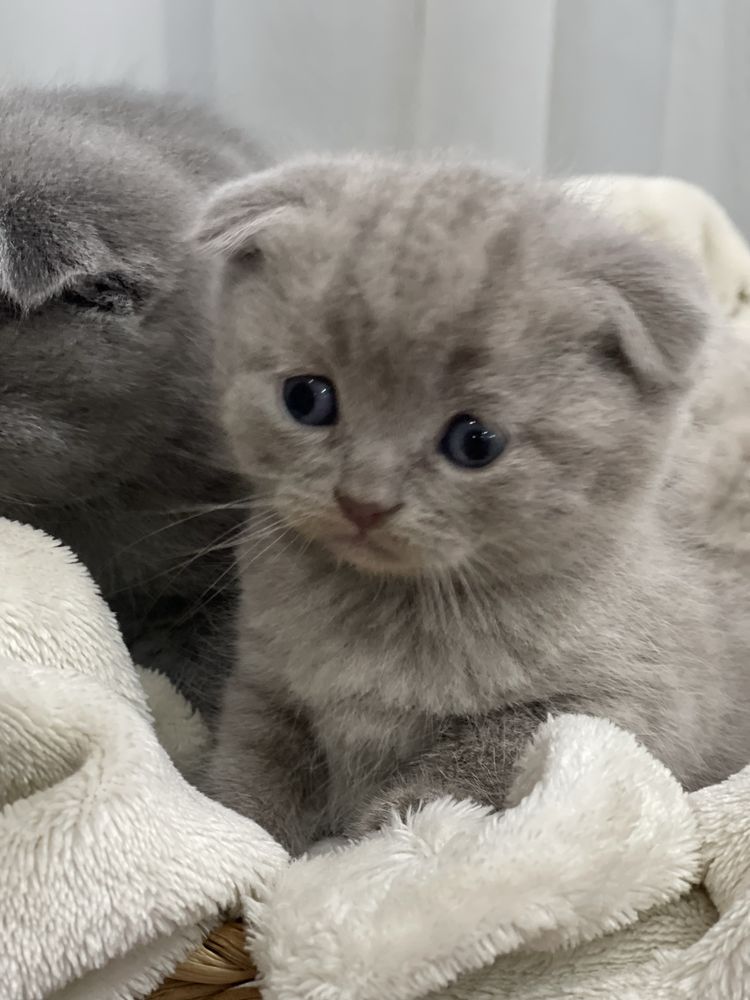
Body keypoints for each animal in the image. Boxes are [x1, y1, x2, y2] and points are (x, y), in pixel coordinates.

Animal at [195, 154, 750, 852]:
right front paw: (242, 836)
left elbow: (480, 754)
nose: (363, 500)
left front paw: (393, 837)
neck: (389, 612)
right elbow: (252, 769)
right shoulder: (265, 681)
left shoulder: (624, 708)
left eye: (475, 441)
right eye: (307, 398)